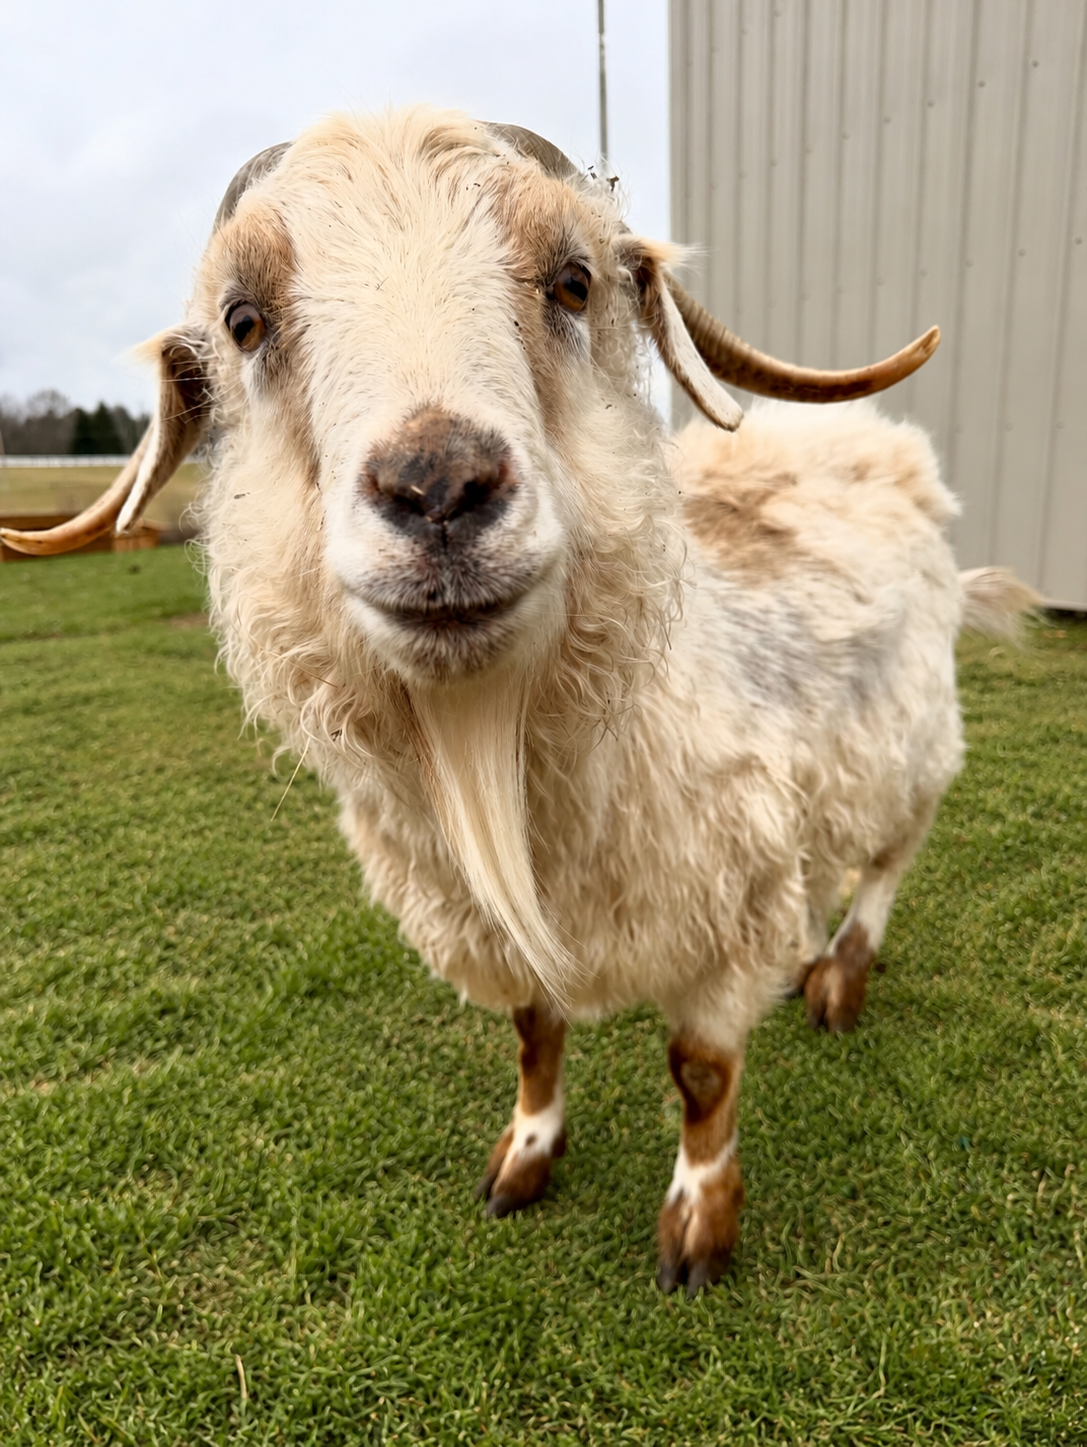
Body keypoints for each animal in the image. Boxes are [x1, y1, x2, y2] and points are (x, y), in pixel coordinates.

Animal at [3, 108, 1038, 1296]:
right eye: (244, 319)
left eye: (574, 279)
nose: (437, 487)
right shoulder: (522, 920)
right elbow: (533, 1033)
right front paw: (526, 1155)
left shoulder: (715, 902)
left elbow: (698, 1069)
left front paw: (697, 1224)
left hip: (912, 738)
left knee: (888, 859)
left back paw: (839, 977)